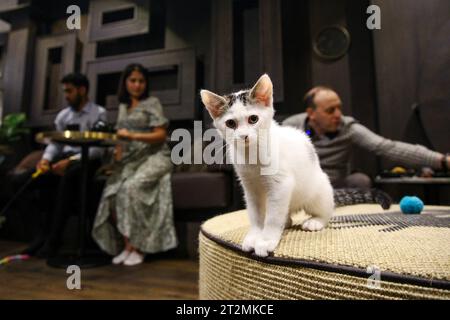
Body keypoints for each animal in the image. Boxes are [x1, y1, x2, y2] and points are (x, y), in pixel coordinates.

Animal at [200, 74, 334, 256]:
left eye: (253, 119)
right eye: (230, 124)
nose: (244, 136)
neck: (252, 155)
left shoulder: (281, 184)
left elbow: (272, 217)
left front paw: (266, 241)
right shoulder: (249, 187)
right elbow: (255, 214)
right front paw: (254, 236)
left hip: (317, 190)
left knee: (325, 210)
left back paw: (315, 221)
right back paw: (286, 222)